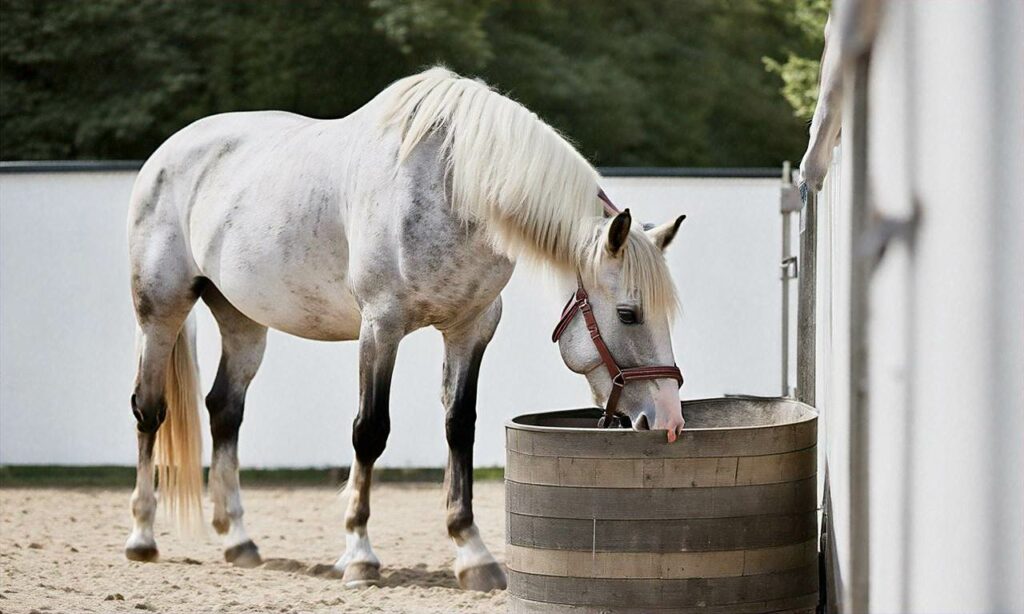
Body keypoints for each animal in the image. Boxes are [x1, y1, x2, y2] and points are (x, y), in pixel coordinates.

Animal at [125, 67, 688, 589]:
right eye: (628, 314)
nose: (667, 421)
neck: (452, 187)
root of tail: (169, 152)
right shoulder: (381, 327)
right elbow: (370, 431)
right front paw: (359, 555)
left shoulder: (471, 327)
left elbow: (460, 426)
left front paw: (473, 553)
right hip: (161, 312)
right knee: (150, 409)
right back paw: (143, 537)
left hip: (242, 320)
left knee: (225, 410)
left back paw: (238, 540)